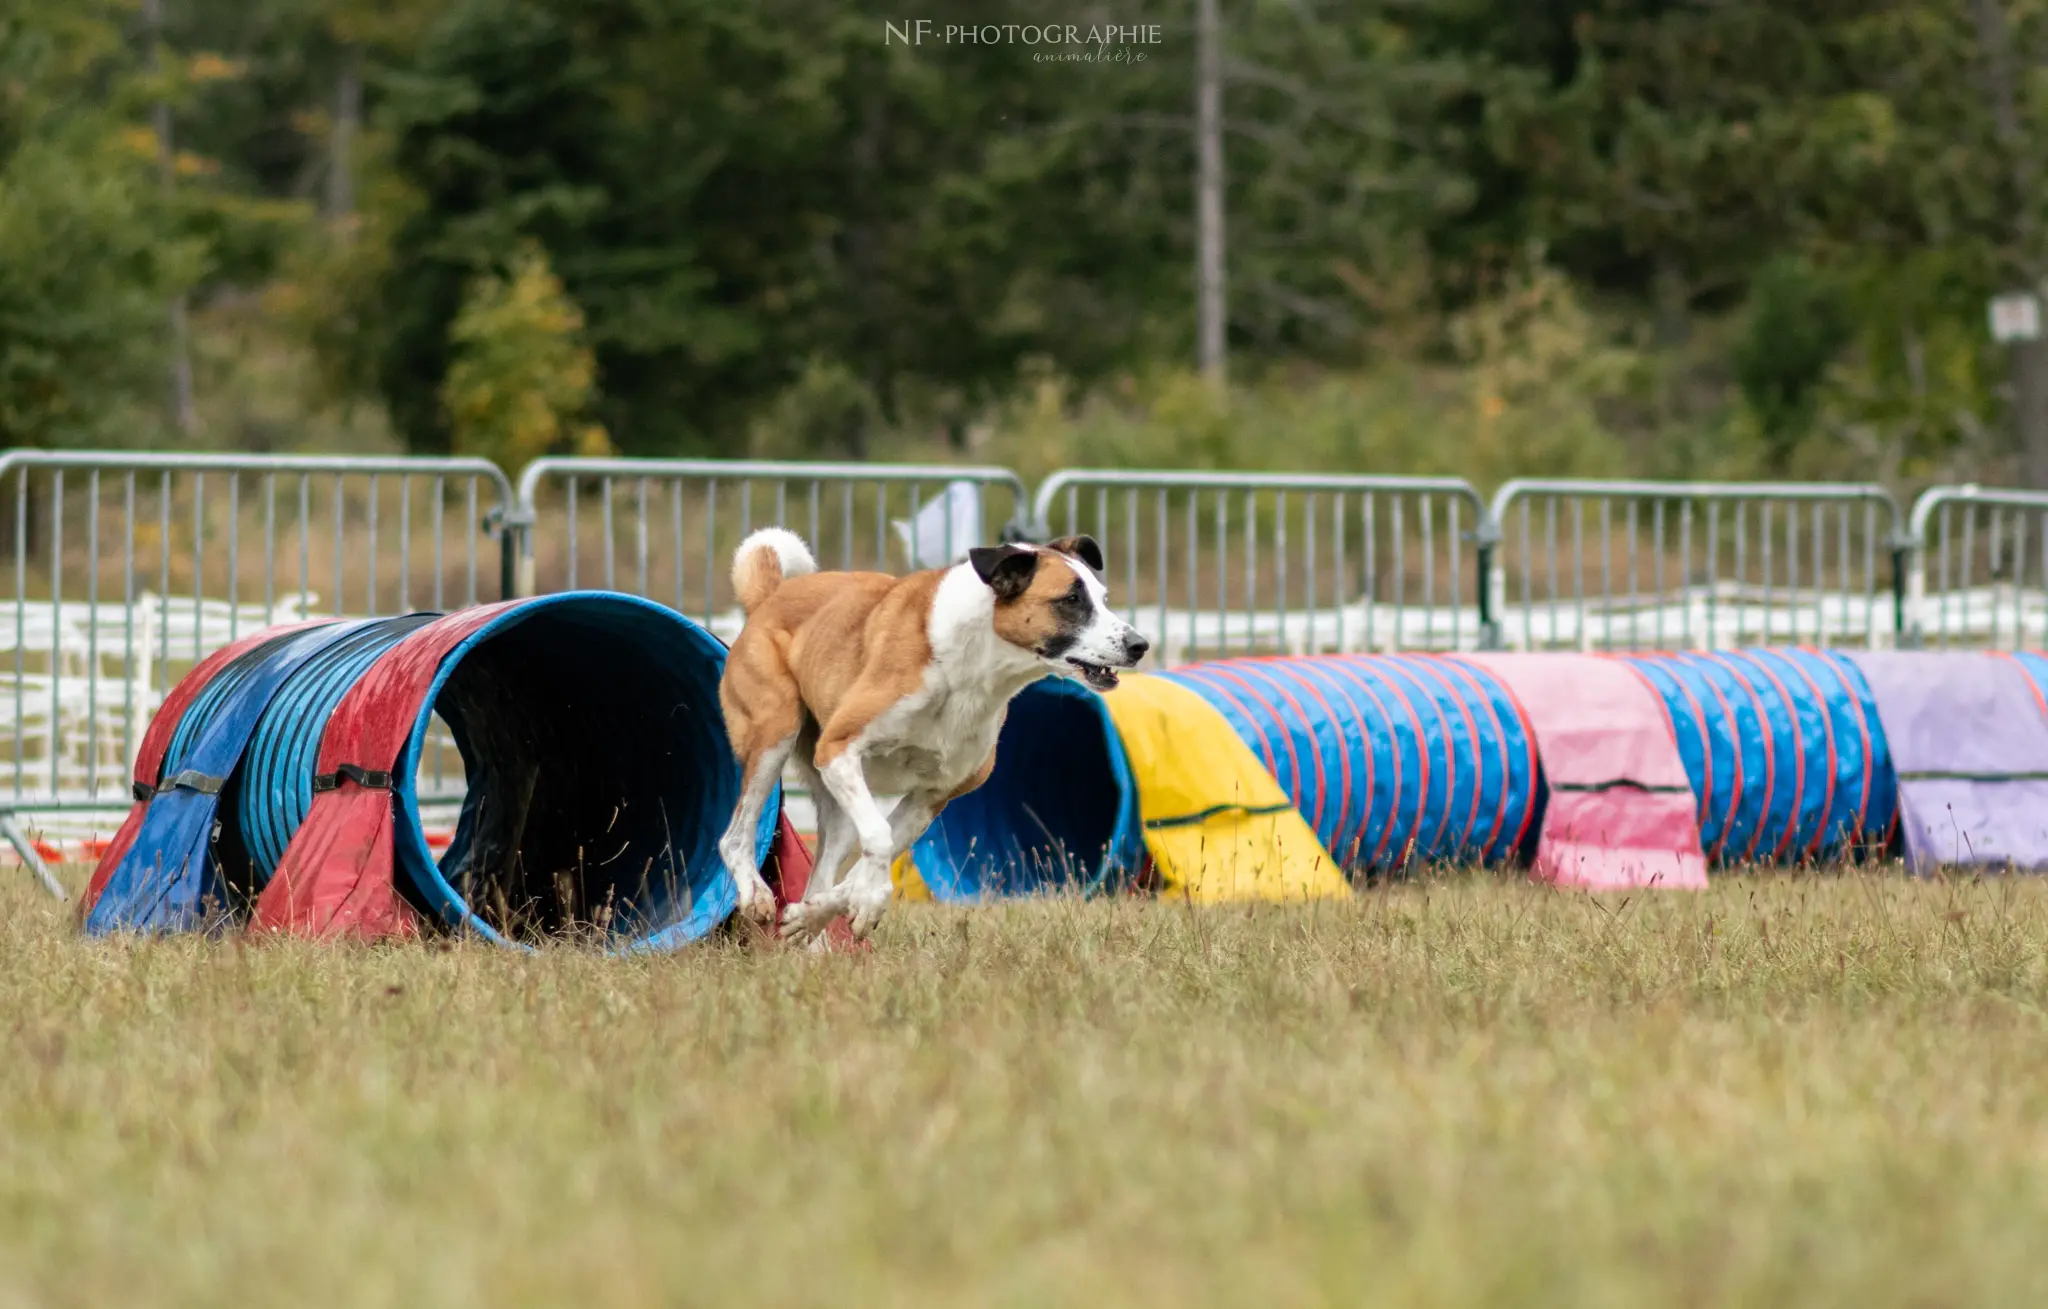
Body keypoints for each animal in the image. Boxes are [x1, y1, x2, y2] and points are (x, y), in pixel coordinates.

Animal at [716, 528, 1155, 946]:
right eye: (1071, 599)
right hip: (776, 735)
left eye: (1103, 598)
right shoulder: (838, 750)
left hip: (837, 808)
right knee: (734, 837)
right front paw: (870, 902)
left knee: (820, 873)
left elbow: (871, 859)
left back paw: (812, 937)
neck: (974, 668)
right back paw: (756, 895)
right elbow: (879, 836)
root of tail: (769, 597)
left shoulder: (934, 794)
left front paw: (830, 909)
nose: (1140, 645)